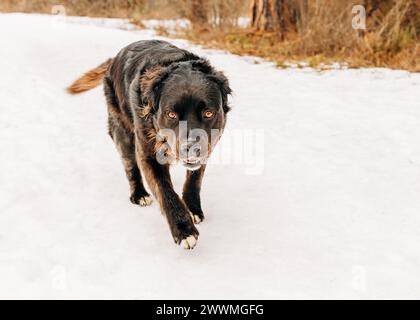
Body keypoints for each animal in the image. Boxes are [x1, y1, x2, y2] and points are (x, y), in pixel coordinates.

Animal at [69, 40, 233, 249]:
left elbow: (194, 180)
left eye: (208, 113)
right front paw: (183, 229)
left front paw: (192, 207)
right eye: (171, 114)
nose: (190, 148)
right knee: (130, 166)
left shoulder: (208, 146)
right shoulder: (148, 154)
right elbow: (165, 191)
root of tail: (114, 59)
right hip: (123, 132)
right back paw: (139, 194)